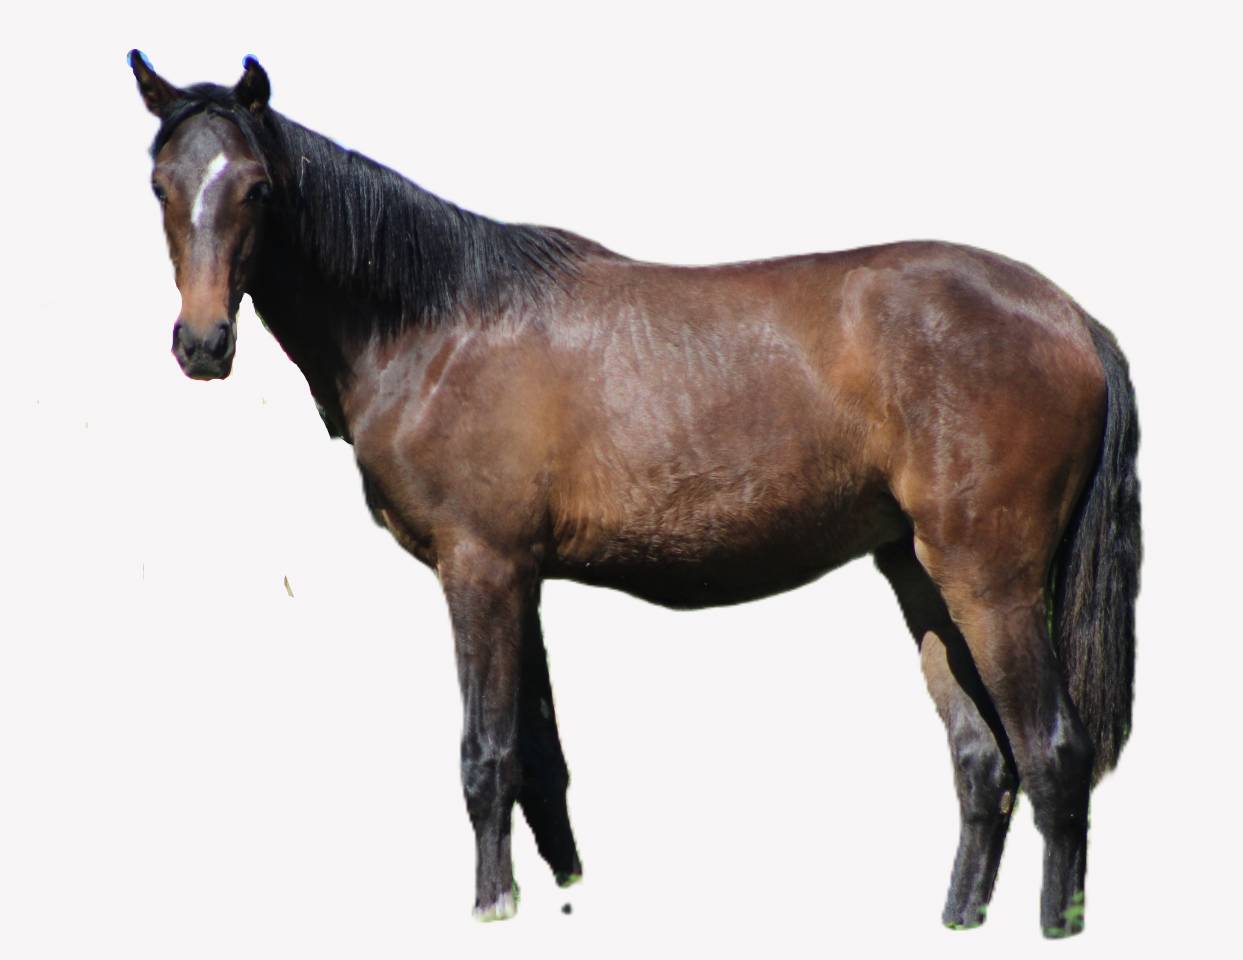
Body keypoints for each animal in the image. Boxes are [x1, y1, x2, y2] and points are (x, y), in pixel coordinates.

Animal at [130, 52, 1140, 937]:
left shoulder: (479, 570)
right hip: (919, 577)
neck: (438, 323)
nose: (203, 344)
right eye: (161, 186)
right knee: (980, 764)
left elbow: (487, 757)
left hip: (990, 583)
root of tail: (1068, 316)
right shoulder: (520, 580)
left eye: (258, 187)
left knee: (1052, 756)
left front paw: (490, 906)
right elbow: (540, 765)